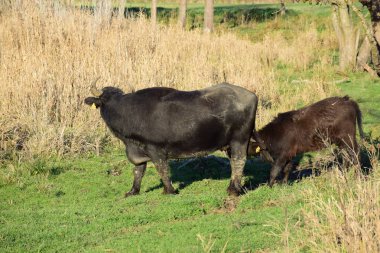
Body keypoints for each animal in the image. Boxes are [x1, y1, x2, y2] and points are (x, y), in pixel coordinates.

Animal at [85, 82, 264, 196]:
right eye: (105, 99)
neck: (128, 112)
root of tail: (252, 95)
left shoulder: (155, 149)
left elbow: (162, 170)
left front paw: (169, 191)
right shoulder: (138, 151)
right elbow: (138, 172)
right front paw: (133, 191)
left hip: (239, 140)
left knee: (239, 161)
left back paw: (233, 190)